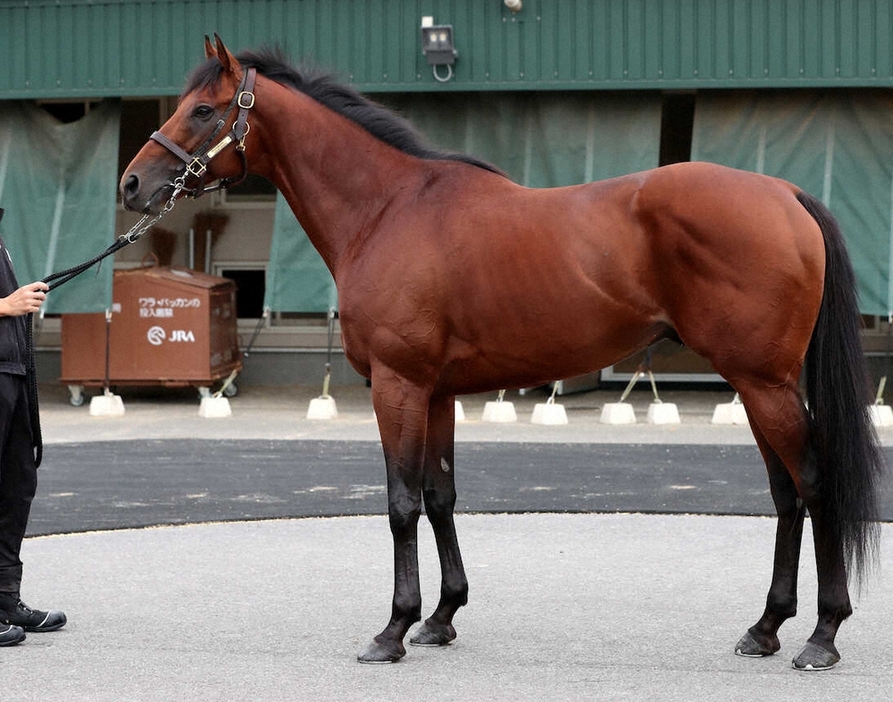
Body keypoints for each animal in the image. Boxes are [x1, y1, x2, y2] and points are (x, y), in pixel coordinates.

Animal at [122, 37, 880, 672]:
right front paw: (441, 618)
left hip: (764, 383)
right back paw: (765, 628)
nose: (131, 185)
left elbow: (401, 502)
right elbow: (439, 496)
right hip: (756, 384)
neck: (387, 209)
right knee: (785, 494)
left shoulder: (397, 385)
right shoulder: (435, 392)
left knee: (814, 484)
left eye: (204, 110)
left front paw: (392, 631)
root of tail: (784, 193)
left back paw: (820, 635)